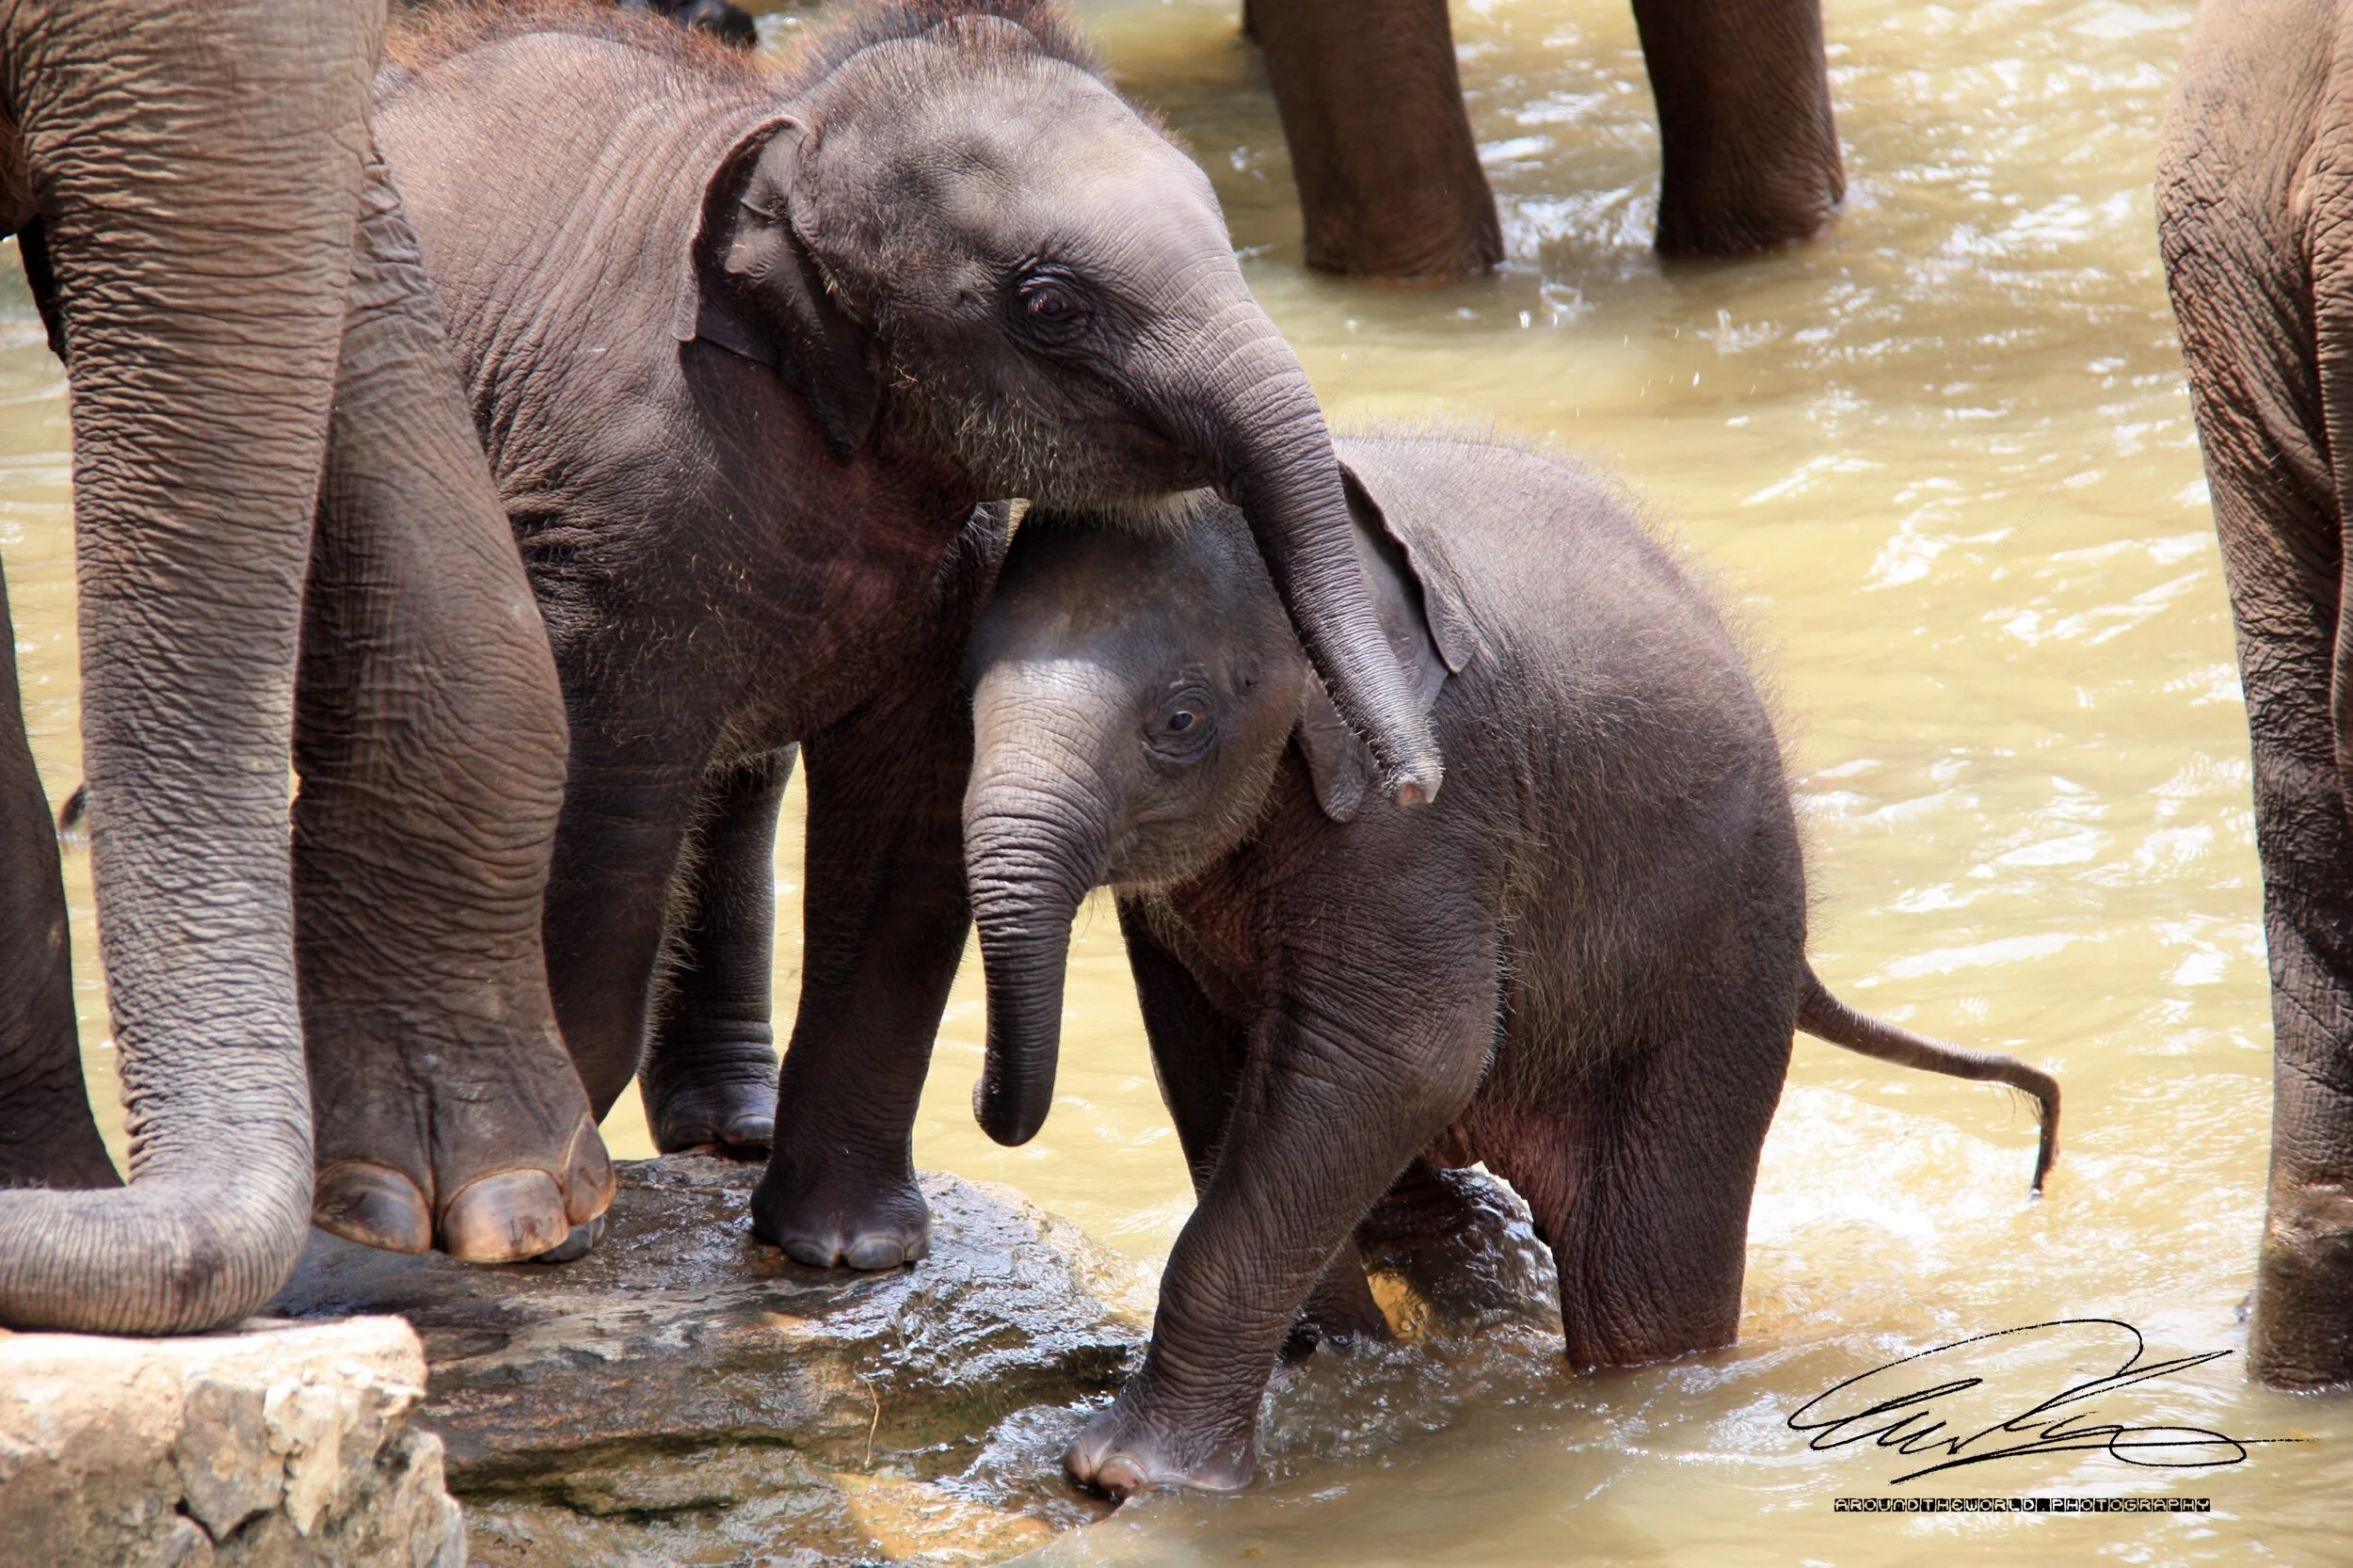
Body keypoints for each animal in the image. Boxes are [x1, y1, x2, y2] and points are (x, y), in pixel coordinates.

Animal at [366, 0, 1441, 1269]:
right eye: (1050, 307)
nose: (1414, 784)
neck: (784, 131)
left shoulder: (951, 571)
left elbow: (906, 829)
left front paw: (850, 1251)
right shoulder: (610, 520)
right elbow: (598, 835)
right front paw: (554, 1230)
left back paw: (728, 1134)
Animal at [959, 434, 2063, 1494]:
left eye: (1180, 722)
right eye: (957, 701)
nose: (980, 1106)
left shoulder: (1433, 796)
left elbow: (1405, 1056)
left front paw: (1126, 1474)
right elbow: (1209, 1063)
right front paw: (1337, 1361)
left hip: (1720, 961)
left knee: (1639, 1283)